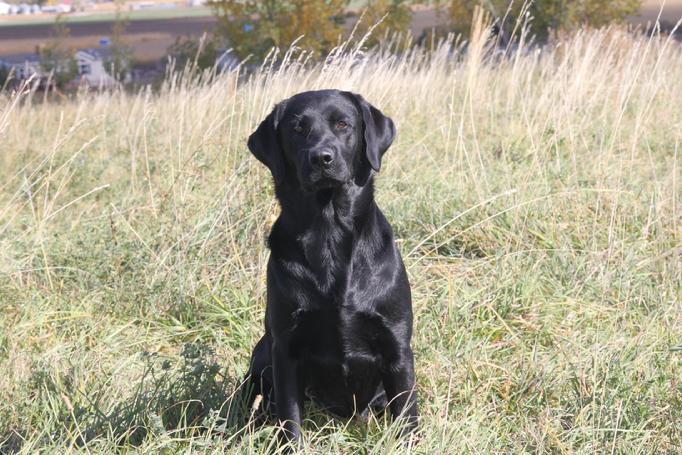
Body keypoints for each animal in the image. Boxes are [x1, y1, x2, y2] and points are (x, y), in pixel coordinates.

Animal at [244, 89, 414, 446]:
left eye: (342, 124)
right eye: (297, 129)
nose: (321, 158)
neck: (329, 233)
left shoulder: (397, 345)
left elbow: (407, 414)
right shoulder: (285, 349)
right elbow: (290, 418)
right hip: (261, 353)